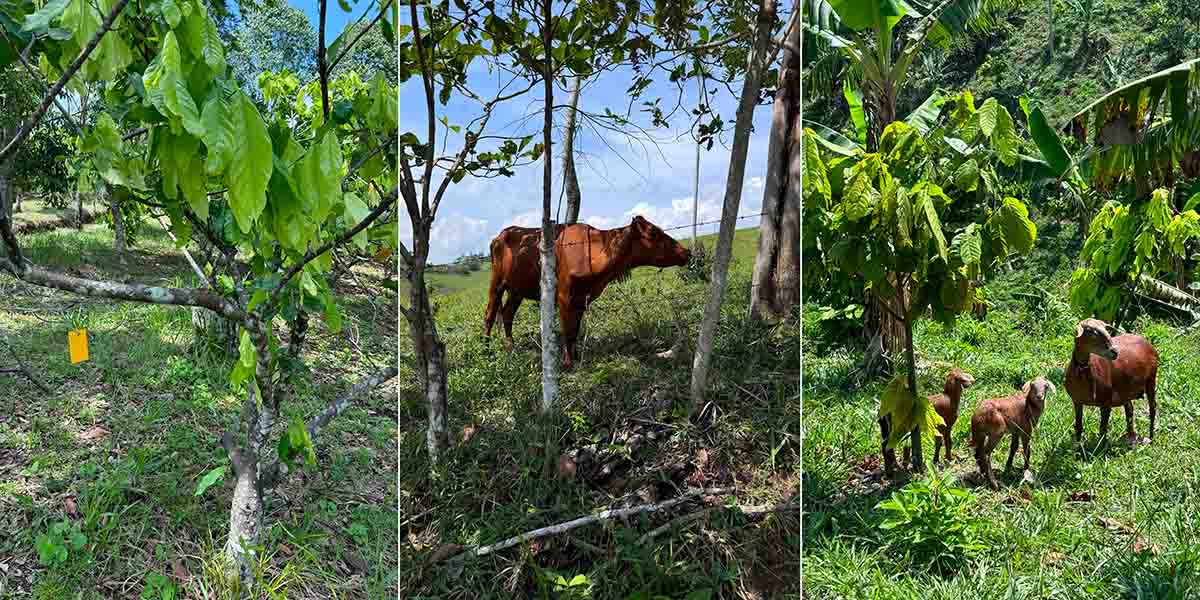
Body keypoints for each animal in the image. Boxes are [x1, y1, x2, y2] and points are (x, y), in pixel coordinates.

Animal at [484, 213, 691, 367]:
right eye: (654, 233)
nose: (686, 252)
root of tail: (502, 234)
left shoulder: (582, 298)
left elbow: (575, 330)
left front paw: (575, 357)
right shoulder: (564, 296)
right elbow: (567, 331)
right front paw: (568, 363)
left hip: (516, 289)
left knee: (507, 314)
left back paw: (510, 347)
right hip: (497, 282)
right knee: (490, 315)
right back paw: (487, 350)